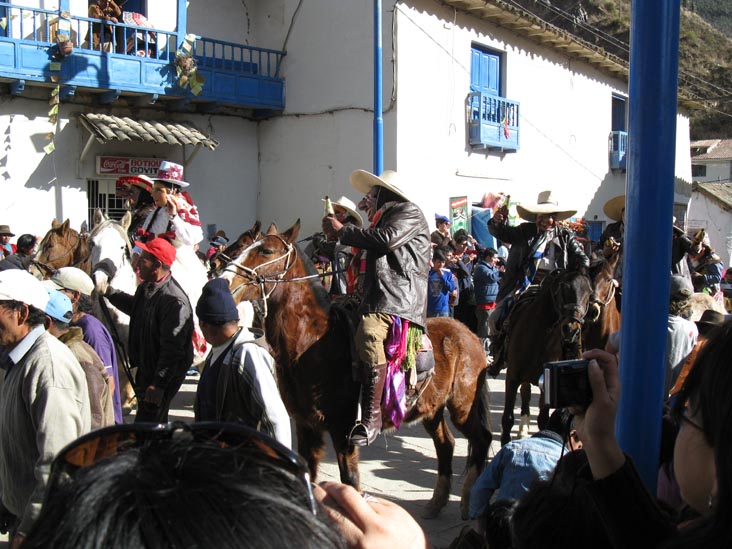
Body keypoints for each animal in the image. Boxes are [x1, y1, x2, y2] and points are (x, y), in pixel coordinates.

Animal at [218, 220, 492, 520]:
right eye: (243, 245)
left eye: (266, 250)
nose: (223, 280)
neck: (311, 344)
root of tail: (471, 335)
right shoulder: (306, 427)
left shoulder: (343, 432)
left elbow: (349, 482)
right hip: (431, 408)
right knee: (446, 445)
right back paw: (436, 503)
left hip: (462, 406)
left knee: (481, 440)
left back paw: (469, 503)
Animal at [501, 269, 594, 445]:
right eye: (563, 287)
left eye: (589, 293)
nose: (571, 330)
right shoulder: (512, 377)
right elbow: (508, 418)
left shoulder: (548, 381)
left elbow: (543, 418)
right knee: (525, 392)